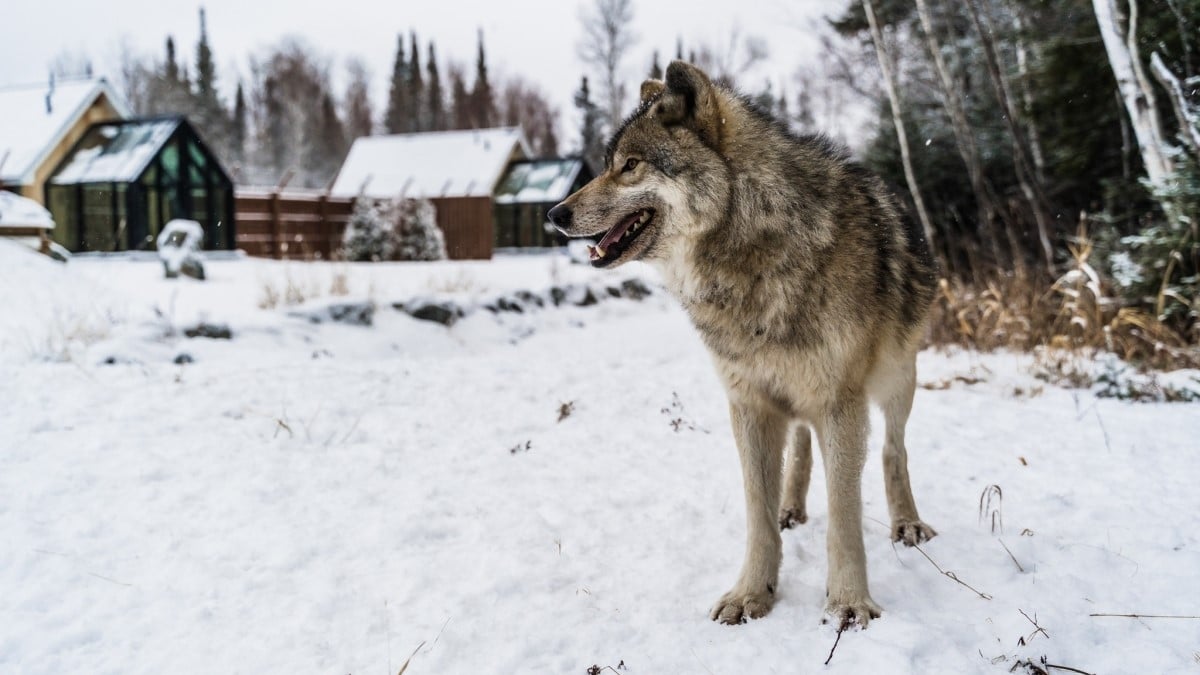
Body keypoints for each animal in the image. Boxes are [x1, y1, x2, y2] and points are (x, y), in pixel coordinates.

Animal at [549, 60, 940, 624]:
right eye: (607, 166)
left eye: (630, 166)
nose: (554, 214)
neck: (752, 248)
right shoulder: (748, 403)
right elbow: (759, 512)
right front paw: (752, 593)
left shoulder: (840, 402)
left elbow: (845, 513)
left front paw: (848, 603)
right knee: (801, 445)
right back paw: (792, 507)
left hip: (895, 380)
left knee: (893, 449)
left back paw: (906, 523)